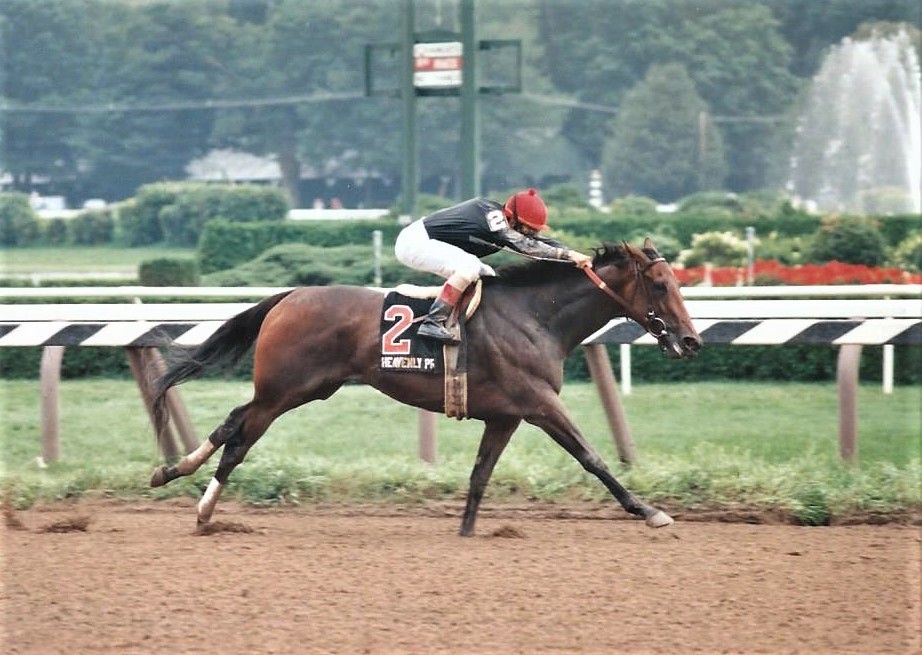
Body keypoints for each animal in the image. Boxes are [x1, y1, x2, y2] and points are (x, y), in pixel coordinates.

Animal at [149, 238, 696, 536]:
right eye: (661, 285)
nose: (690, 340)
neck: (536, 317)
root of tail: (289, 296)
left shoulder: (506, 414)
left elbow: (480, 473)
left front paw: (468, 530)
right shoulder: (539, 404)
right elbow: (592, 457)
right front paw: (649, 511)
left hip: (303, 388)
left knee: (232, 421)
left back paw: (170, 471)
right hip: (283, 390)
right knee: (241, 439)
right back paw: (203, 509)